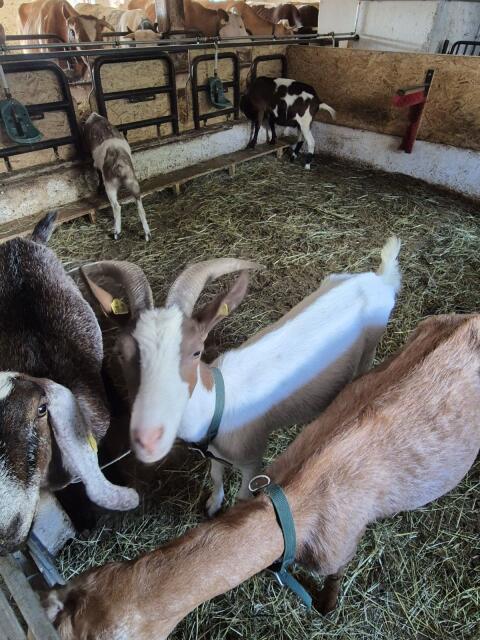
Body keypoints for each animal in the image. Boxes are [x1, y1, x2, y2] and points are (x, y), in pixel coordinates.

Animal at [81, 237, 401, 516]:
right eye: (120, 352)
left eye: (196, 352)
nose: (147, 440)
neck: (217, 403)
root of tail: (379, 279)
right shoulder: (215, 454)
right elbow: (216, 475)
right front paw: (213, 504)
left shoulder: (251, 459)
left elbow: (245, 495)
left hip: (370, 347)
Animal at [84, 112, 151, 241]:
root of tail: (119, 165)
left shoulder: (96, 165)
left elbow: (98, 174)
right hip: (132, 181)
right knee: (139, 205)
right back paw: (147, 234)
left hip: (110, 185)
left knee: (116, 206)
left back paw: (116, 233)